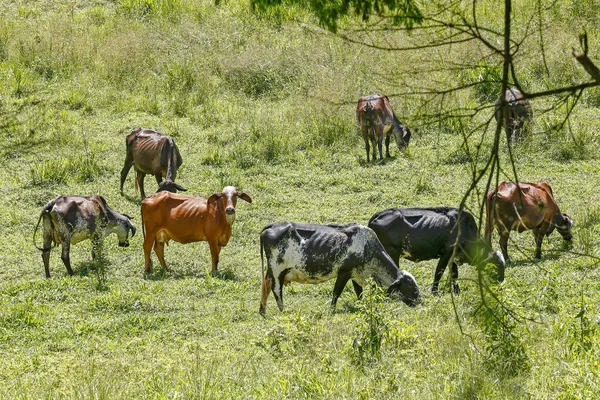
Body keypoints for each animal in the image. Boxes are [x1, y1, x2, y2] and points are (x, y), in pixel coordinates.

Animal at [258, 222, 422, 316]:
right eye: (410, 285)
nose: (420, 300)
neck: (367, 246)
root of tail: (273, 225)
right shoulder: (345, 272)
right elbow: (336, 293)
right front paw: (332, 311)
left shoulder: (356, 274)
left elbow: (359, 293)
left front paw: (361, 306)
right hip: (277, 270)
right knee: (276, 290)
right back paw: (283, 311)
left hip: (272, 271)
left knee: (265, 287)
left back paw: (263, 312)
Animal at [368, 208, 504, 296]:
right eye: (496, 266)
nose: (501, 281)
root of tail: (378, 215)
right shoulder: (446, 254)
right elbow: (439, 273)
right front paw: (434, 292)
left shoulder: (453, 256)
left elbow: (454, 274)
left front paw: (456, 291)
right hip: (391, 253)